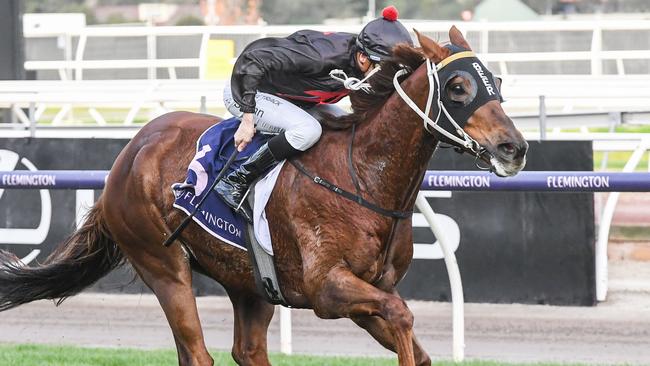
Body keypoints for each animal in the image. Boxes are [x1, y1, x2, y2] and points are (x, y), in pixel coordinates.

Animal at [0, 27, 528, 364]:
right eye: (458, 86)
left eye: (497, 81)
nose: (514, 148)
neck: (362, 175)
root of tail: (128, 154)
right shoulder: (328, 289)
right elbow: (402, 317)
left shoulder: (373, 291)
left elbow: (412, 340)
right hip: (163, 265)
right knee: (198, 353)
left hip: (249, 283)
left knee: (247, 351)